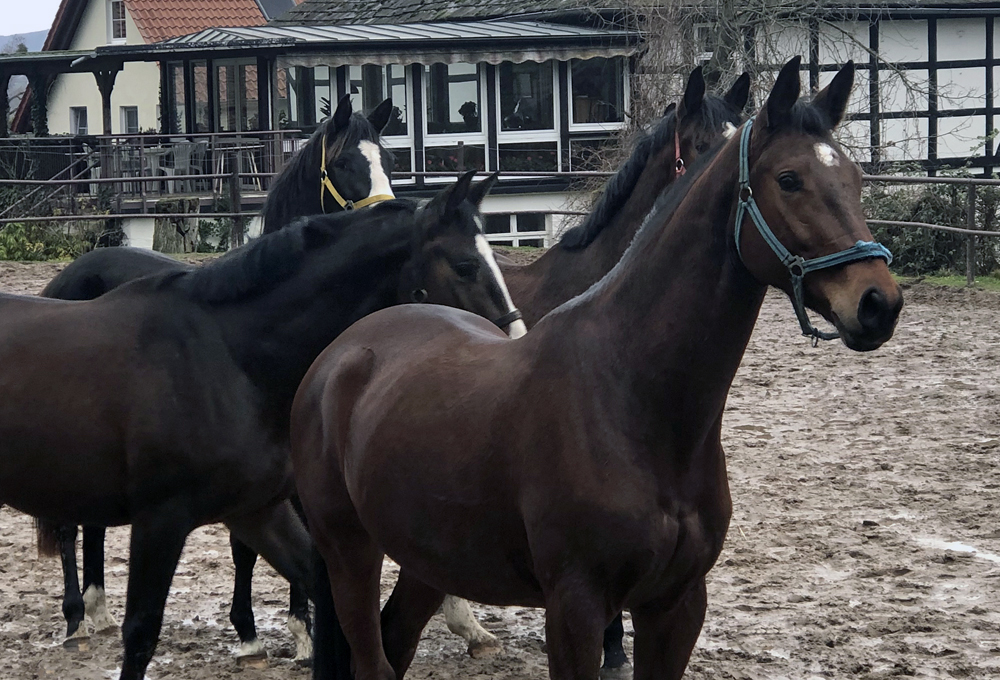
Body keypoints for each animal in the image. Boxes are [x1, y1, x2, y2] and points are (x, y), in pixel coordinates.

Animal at [0, 174, 528, 680]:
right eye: (465, 265)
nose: (512, 344)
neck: (227, 353)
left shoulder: (258, 511)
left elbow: (323, 593)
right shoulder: (160, 520)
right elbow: (142, 634)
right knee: (71, 534)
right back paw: (77, 620)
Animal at [34, 93, 402, 660]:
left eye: (388, 160)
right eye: (344, 164)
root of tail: (69, 277)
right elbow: (248, 546)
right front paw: (261, 628)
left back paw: (97, 607)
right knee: (70, 524)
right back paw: (75, 614)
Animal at [292, 59, 908, 680]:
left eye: (855, 178)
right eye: (789, 179)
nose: (878, 303)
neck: (631, 397)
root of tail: (343, 351)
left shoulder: (678, 604)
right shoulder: (575, 608)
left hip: (428, 556)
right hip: (351, 553)